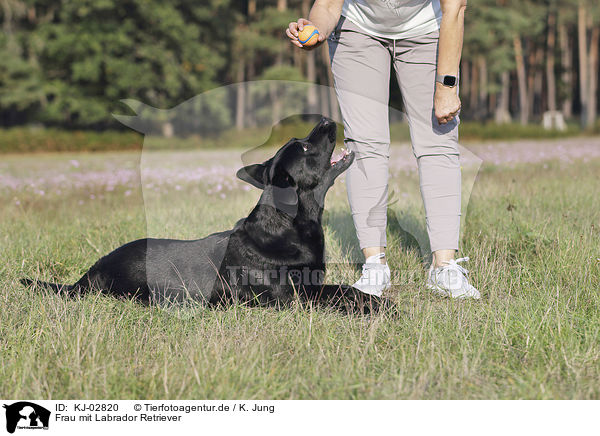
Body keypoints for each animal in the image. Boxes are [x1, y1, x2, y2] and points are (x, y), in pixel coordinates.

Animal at [23, 117, 382, 312]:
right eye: (305, 148)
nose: (326, 120)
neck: (288, 227)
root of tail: (89, 274)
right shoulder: (294, 298)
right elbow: (342, 294)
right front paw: (378, 308)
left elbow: (346, 290)